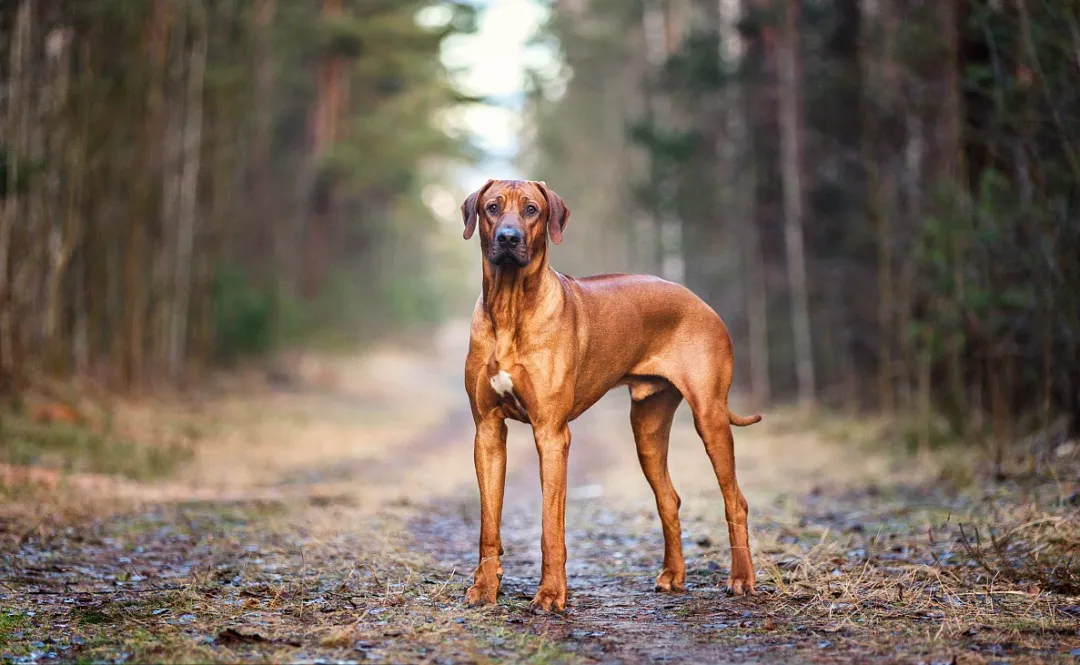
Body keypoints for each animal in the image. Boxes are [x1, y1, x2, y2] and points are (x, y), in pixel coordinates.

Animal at [460, 178, 764, 613]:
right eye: (492, 207)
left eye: (532, 210)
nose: (508, 237)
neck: (510, 306)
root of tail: (700, 301)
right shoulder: (486, 431)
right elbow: (489, 524)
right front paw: (485, 588)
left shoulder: (551, 434)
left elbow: (550, 526)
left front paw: (550, 594)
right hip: (647, 429)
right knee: (669, 498)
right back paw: (673, 576)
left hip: (710, 416)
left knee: (735, 500)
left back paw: (740, 578)